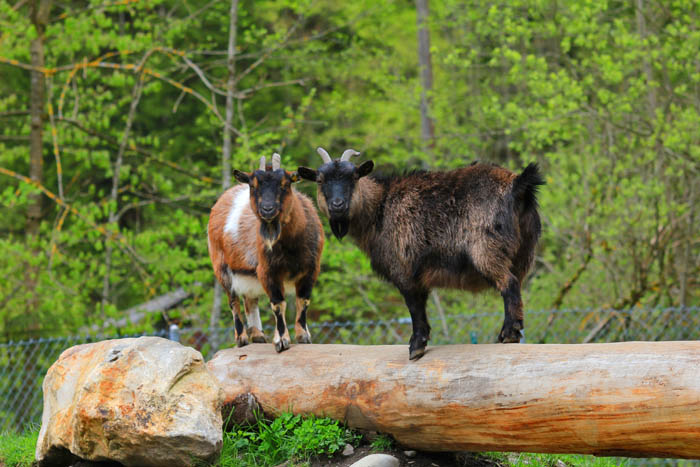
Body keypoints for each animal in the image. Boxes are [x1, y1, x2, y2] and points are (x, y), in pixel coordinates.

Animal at [206, 155, 324, 352]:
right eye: (253, 185)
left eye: (285, 184)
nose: (267, 209)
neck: (290, 245)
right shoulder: (268, 270)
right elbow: (278, 304)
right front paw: (282, 340)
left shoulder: (311, 269)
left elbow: (303, 301)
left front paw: (303, 336)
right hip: (221, 267)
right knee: (233, 301)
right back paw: (242, 338)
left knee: (250, 300)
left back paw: (258, 335)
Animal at [298, 148, 544, 360]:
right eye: (320, 180)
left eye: (354, 177)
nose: (337, 205)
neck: (381, 207)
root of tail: (516, 184)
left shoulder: (404, 268)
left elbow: (415, 308)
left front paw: (416, 346)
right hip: (524, 252)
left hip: (487, 250)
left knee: (509, 284)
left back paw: (508, 334)